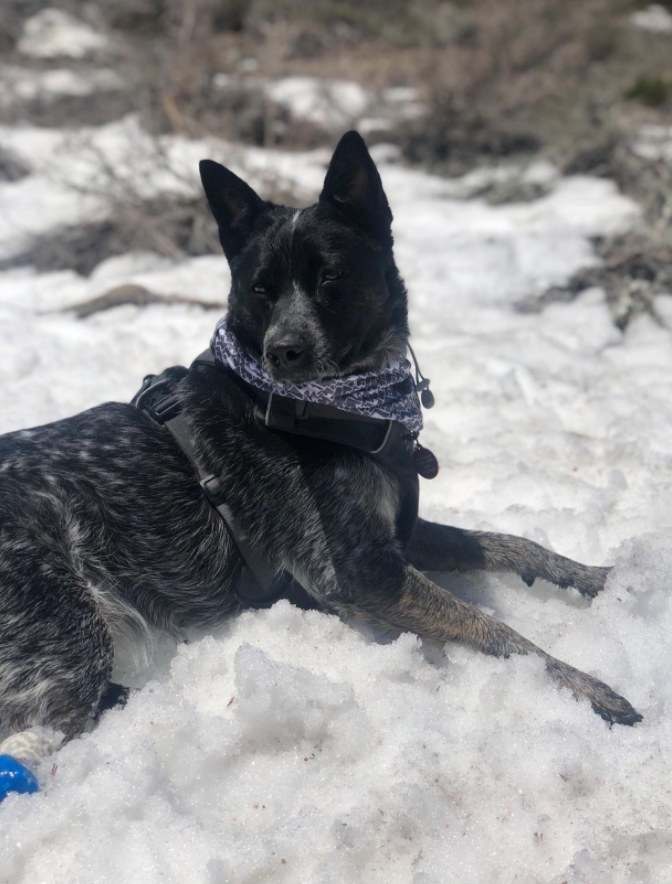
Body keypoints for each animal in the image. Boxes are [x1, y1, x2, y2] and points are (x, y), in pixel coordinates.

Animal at [0, 131, 640, 772]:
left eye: (330, 277)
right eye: (259, 289)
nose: (284, 350)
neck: (335, 411)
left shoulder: (398, 536)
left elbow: (514, 544)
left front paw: (600, 577)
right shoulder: (364, 575)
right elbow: (498, 631)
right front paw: (589, 689)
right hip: (70, 633)